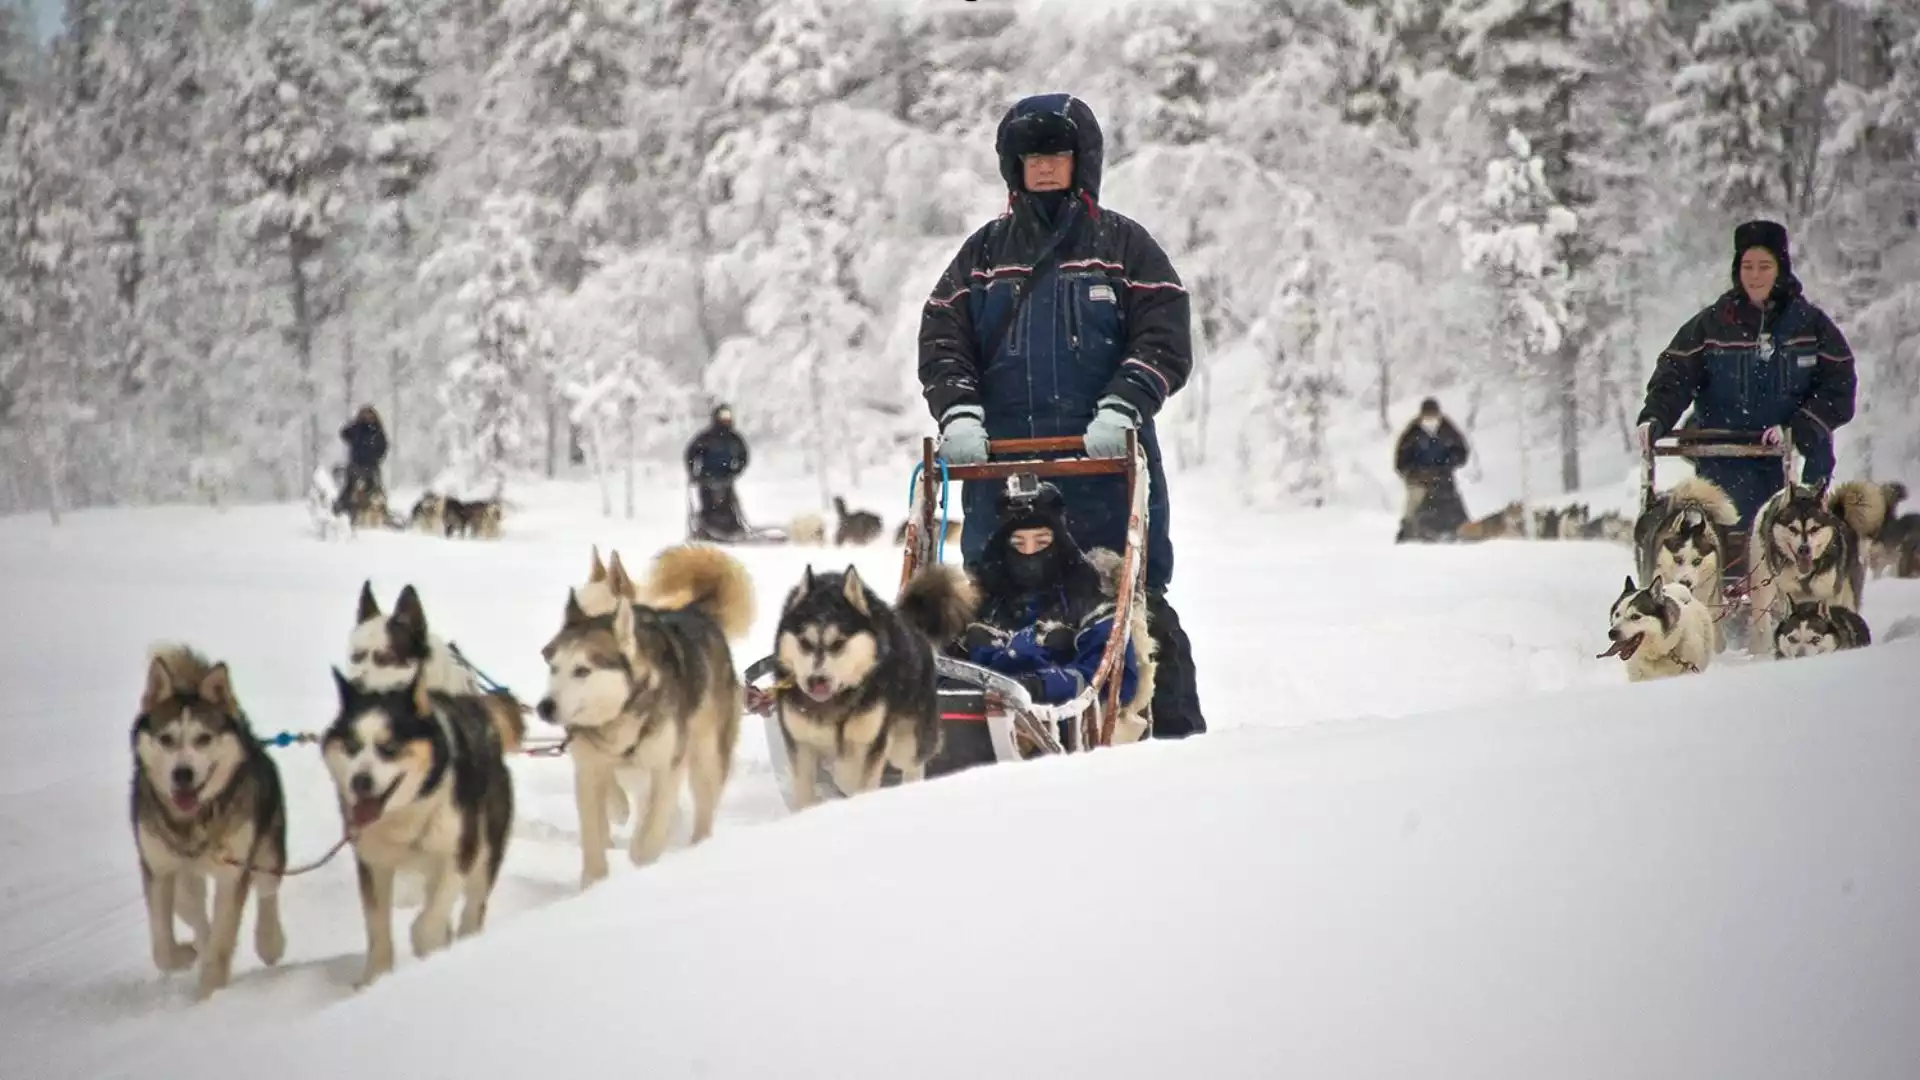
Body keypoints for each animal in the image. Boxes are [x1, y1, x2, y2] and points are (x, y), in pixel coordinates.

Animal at [131, 641, 284, 999]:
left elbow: (223, 937)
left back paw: (270, 941)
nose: (182, 773)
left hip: (268, 846)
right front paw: (186, 954)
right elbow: (162, 947)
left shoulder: (234, 871)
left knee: (267, 891)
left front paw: (210, 994)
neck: (191, 822)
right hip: (184, 872)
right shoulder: (157, 868)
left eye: (203, 738)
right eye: (166, 739)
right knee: (192, 906)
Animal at [324, 664, 518, 983]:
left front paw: (426, 942)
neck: (406, 812)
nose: (360, 782)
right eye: (352, 745)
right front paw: (376, 979)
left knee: (473, 907)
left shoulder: (459, 852)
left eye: (389, 747)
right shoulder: (373, 863)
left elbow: (429, 921)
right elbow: (377, 927)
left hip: (486, 850)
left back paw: (466, 940)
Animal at [541, 541, 756, 880]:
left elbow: (652, 827)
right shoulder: (589, 768)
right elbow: (599, 819)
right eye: (554, 666)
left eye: (583, 669)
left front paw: (644, 856)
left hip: (705, 759)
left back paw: (698, 848)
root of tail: (695, 610)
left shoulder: (665, 768)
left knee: (702, 807)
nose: (545, 707)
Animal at [768, 557, 975, 803]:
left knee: (913, 764)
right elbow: (805, 790)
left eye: (838, 643)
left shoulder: (871, 743)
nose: (816, 680)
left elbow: (855, 778)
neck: (834, 704)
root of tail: (909, 621)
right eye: (804, 642)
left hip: (906, 743)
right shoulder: (801, 744)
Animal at [1758, 476, 1889, 641]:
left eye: (1814, 528)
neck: (1805, 577)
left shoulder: (1829, 594)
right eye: (1792, 528)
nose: (1804, 549)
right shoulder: (1788, 593)